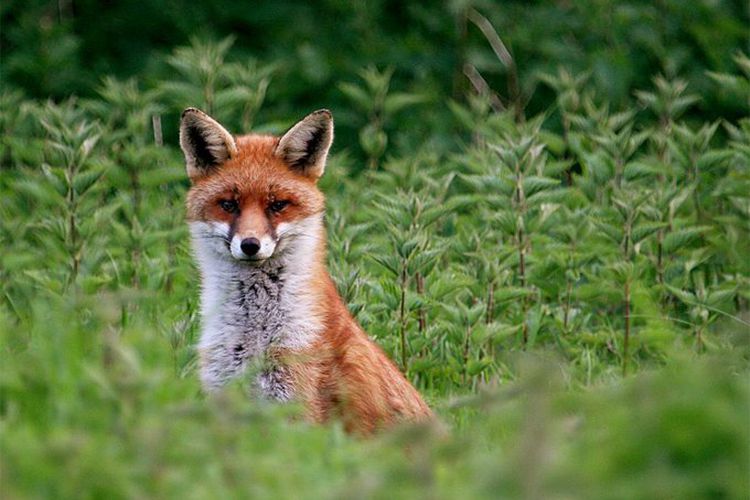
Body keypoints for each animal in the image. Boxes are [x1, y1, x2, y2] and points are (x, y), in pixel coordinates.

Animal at [179, 107, 433, 434]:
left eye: (277, 205)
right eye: (228, 205)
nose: (250, 245)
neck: (254, 336)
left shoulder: (295, 408)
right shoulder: (225, 397)